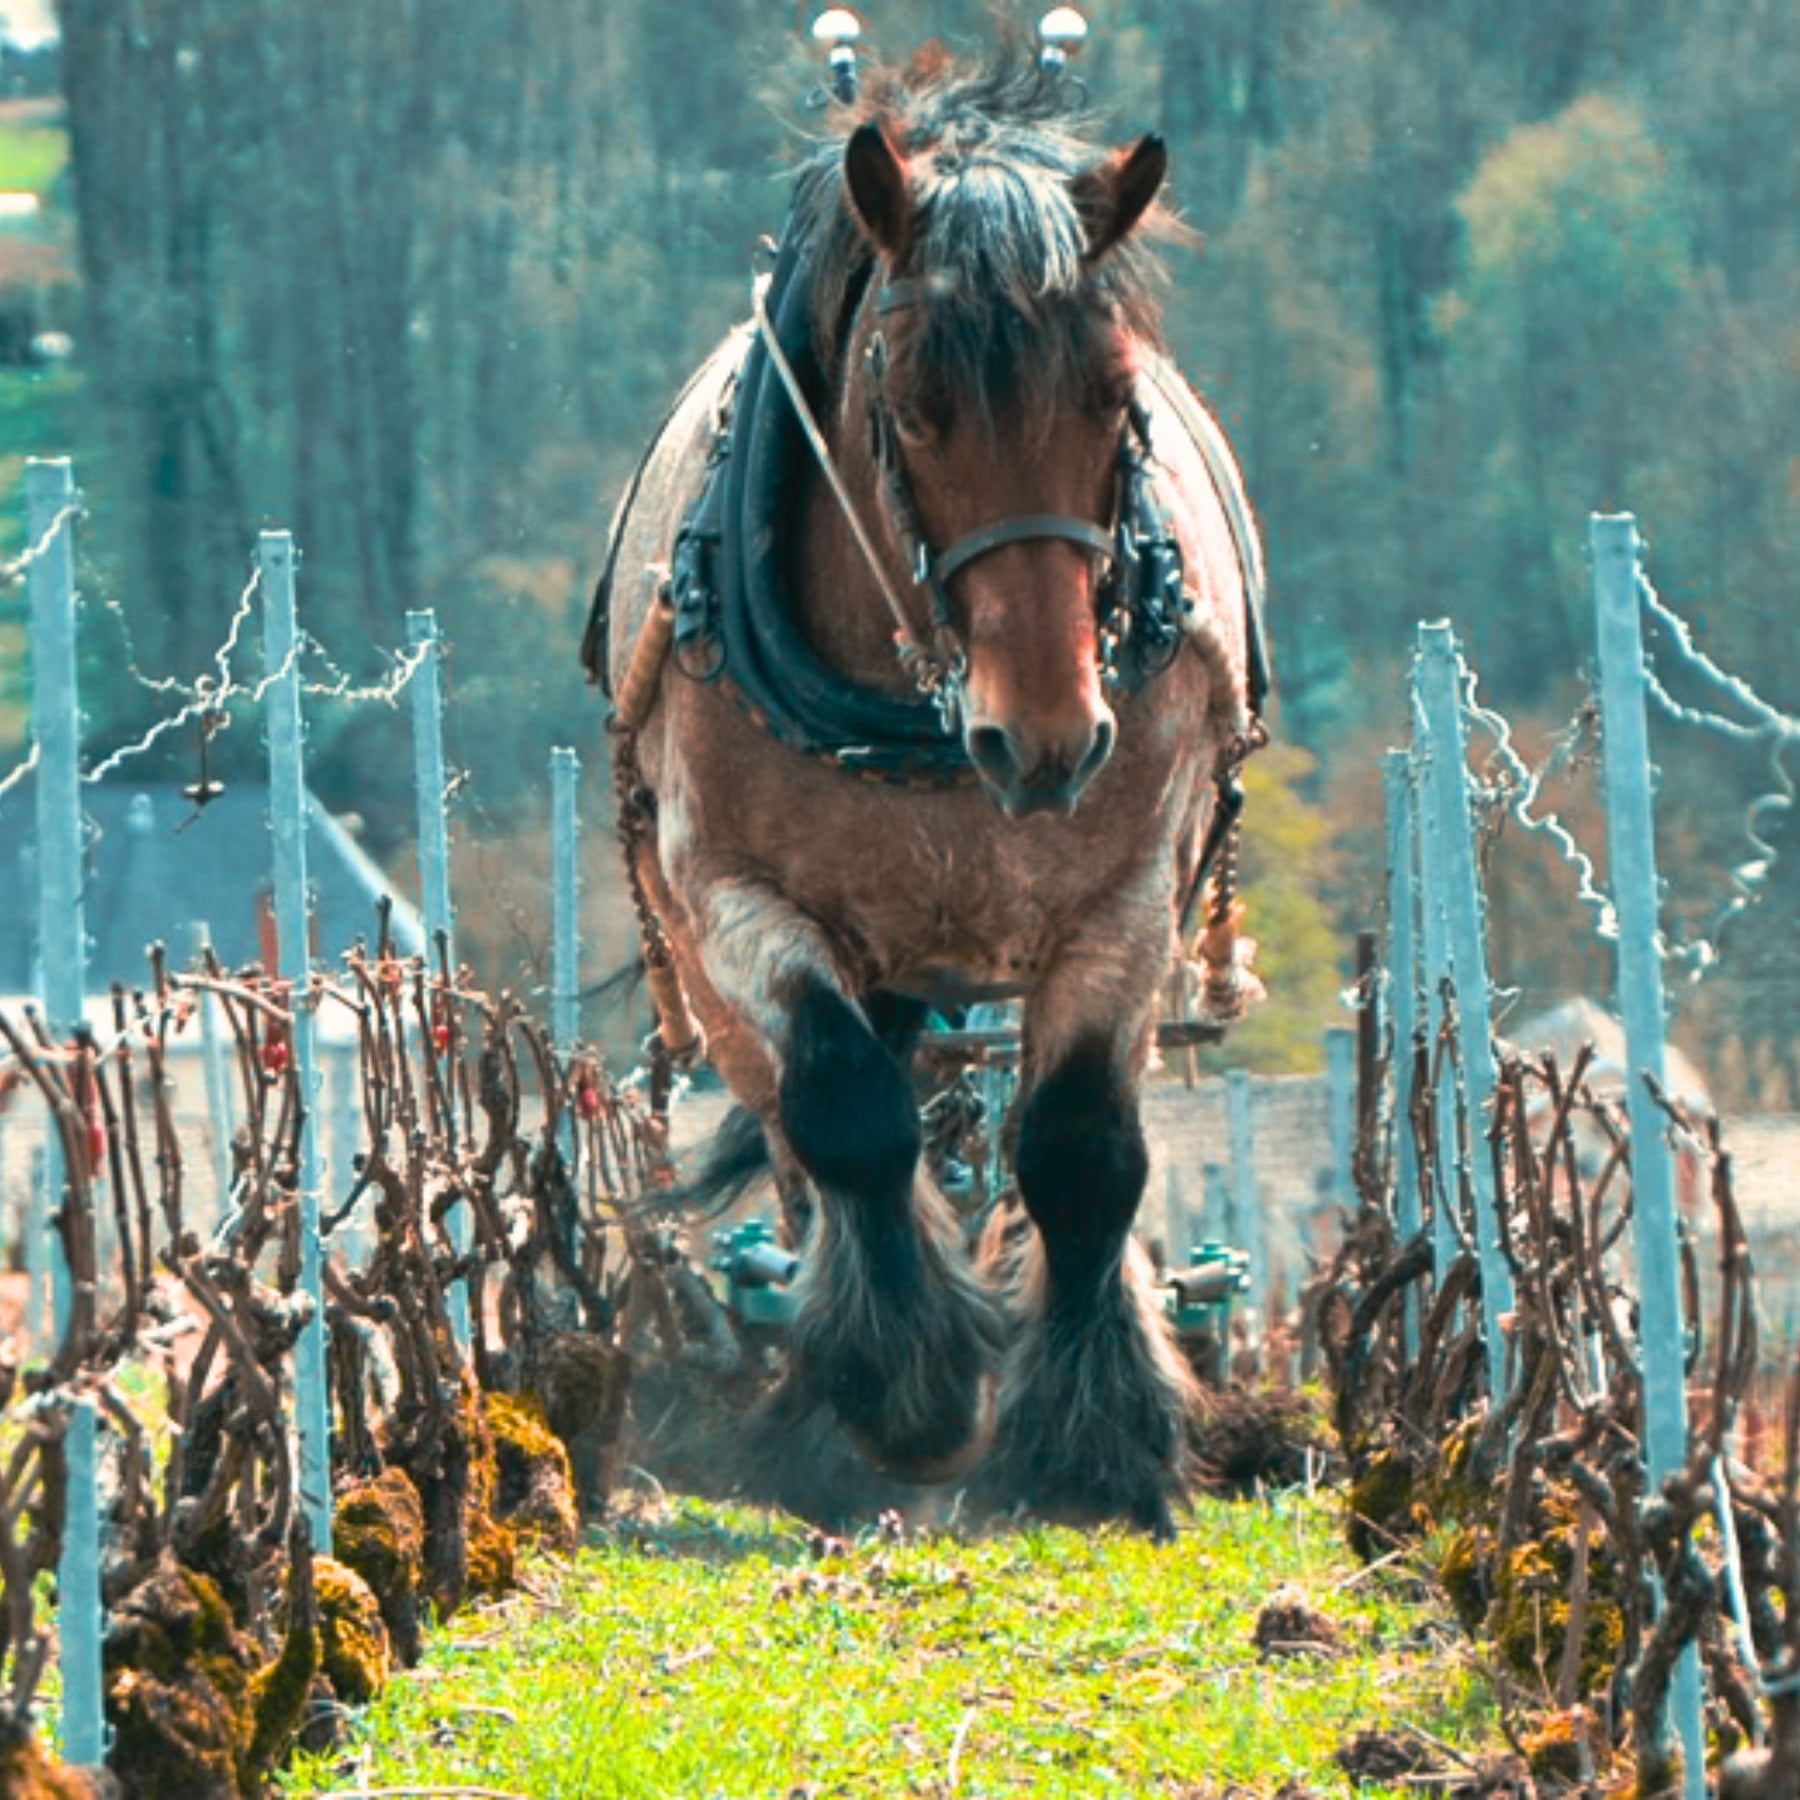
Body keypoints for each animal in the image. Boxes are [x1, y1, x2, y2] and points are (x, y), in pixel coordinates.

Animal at [585, 49, 1267, 1532]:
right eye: (908, 407)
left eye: (1117, 401)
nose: (1049, 736)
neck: (920, 720)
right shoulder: (727, 895)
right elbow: (848, 1109)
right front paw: (911, 1397)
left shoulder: (1128, 901)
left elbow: (1079, 1149)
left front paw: (1092, 1439)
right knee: (815, 1143)